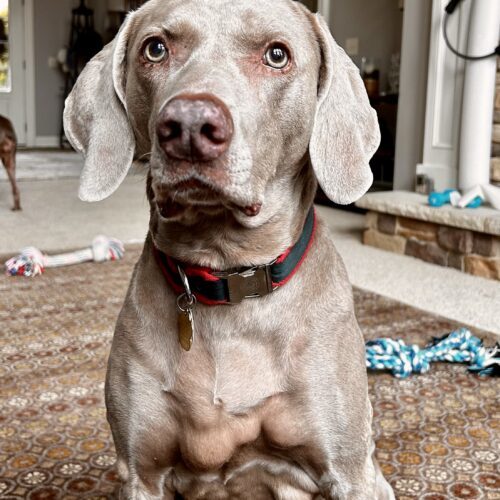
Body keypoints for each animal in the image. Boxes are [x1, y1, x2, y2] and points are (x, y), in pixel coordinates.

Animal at [64, 1, 396, 498]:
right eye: (155, 48)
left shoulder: (348, 471)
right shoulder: (141, 472)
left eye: (277, 55)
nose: (189, 126)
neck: (230, 275)